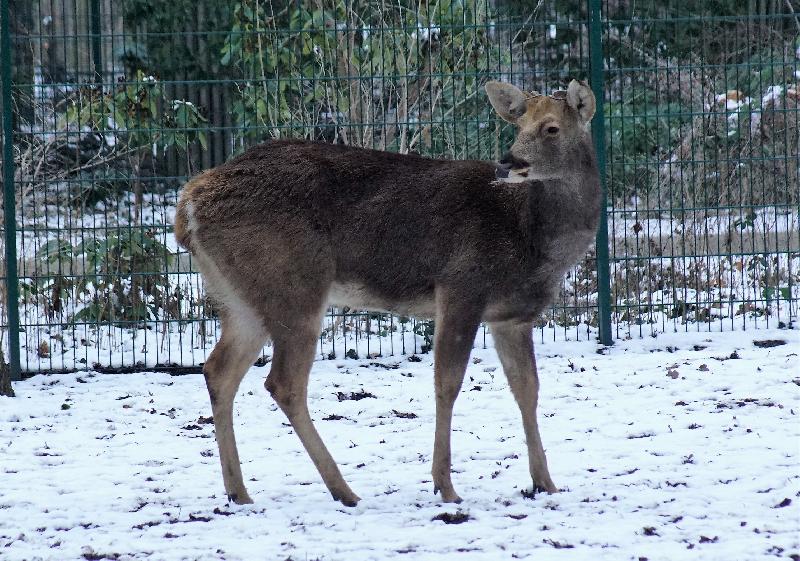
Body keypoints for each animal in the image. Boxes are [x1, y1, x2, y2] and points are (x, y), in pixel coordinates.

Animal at [174, 79, 601, 507]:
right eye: (518, 125)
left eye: (551, 128)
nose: (508, 162)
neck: (530, 237)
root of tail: (188, 205)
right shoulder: (461, 287)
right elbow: (447, 384)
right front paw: (445, 486)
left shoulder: (512, 318)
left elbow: (527, 389)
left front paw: (545, 482)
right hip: (294, 285)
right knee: (283, 382)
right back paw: (343, 490)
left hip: (241, 298)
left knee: (219, 369)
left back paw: (239, 491)